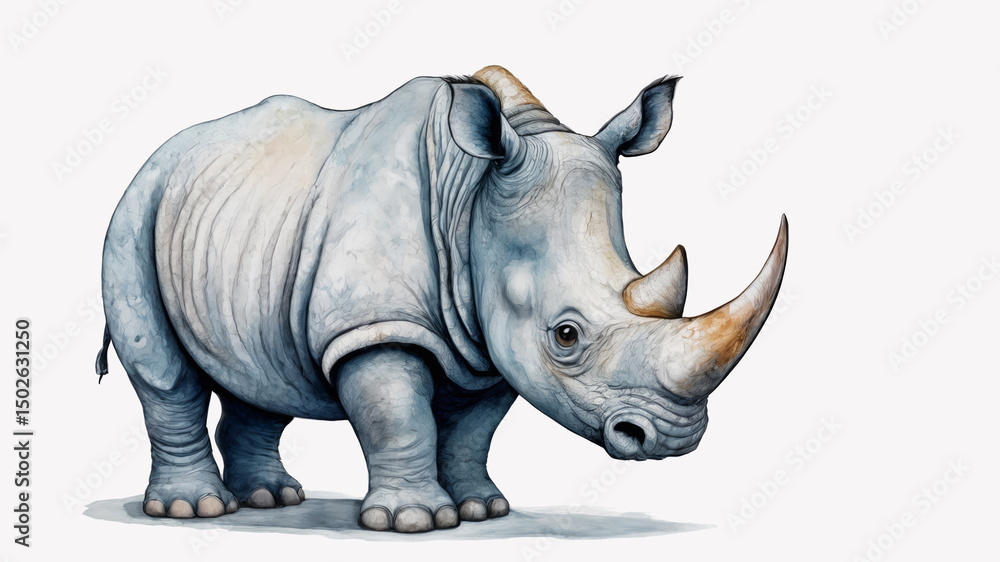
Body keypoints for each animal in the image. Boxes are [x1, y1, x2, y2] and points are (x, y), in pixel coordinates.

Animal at [97, 65, 788, 533]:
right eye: (565, 335)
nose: (671, 439)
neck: (473, 197)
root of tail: (160, 154)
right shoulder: (373, 325)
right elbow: (399, 416)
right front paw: (413, 523)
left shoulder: (491, 345)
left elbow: (472, 431)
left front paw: (483, 510)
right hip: (135, 208)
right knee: (164, 373)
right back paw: (193, 510)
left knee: (263, 372)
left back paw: (272, 501)